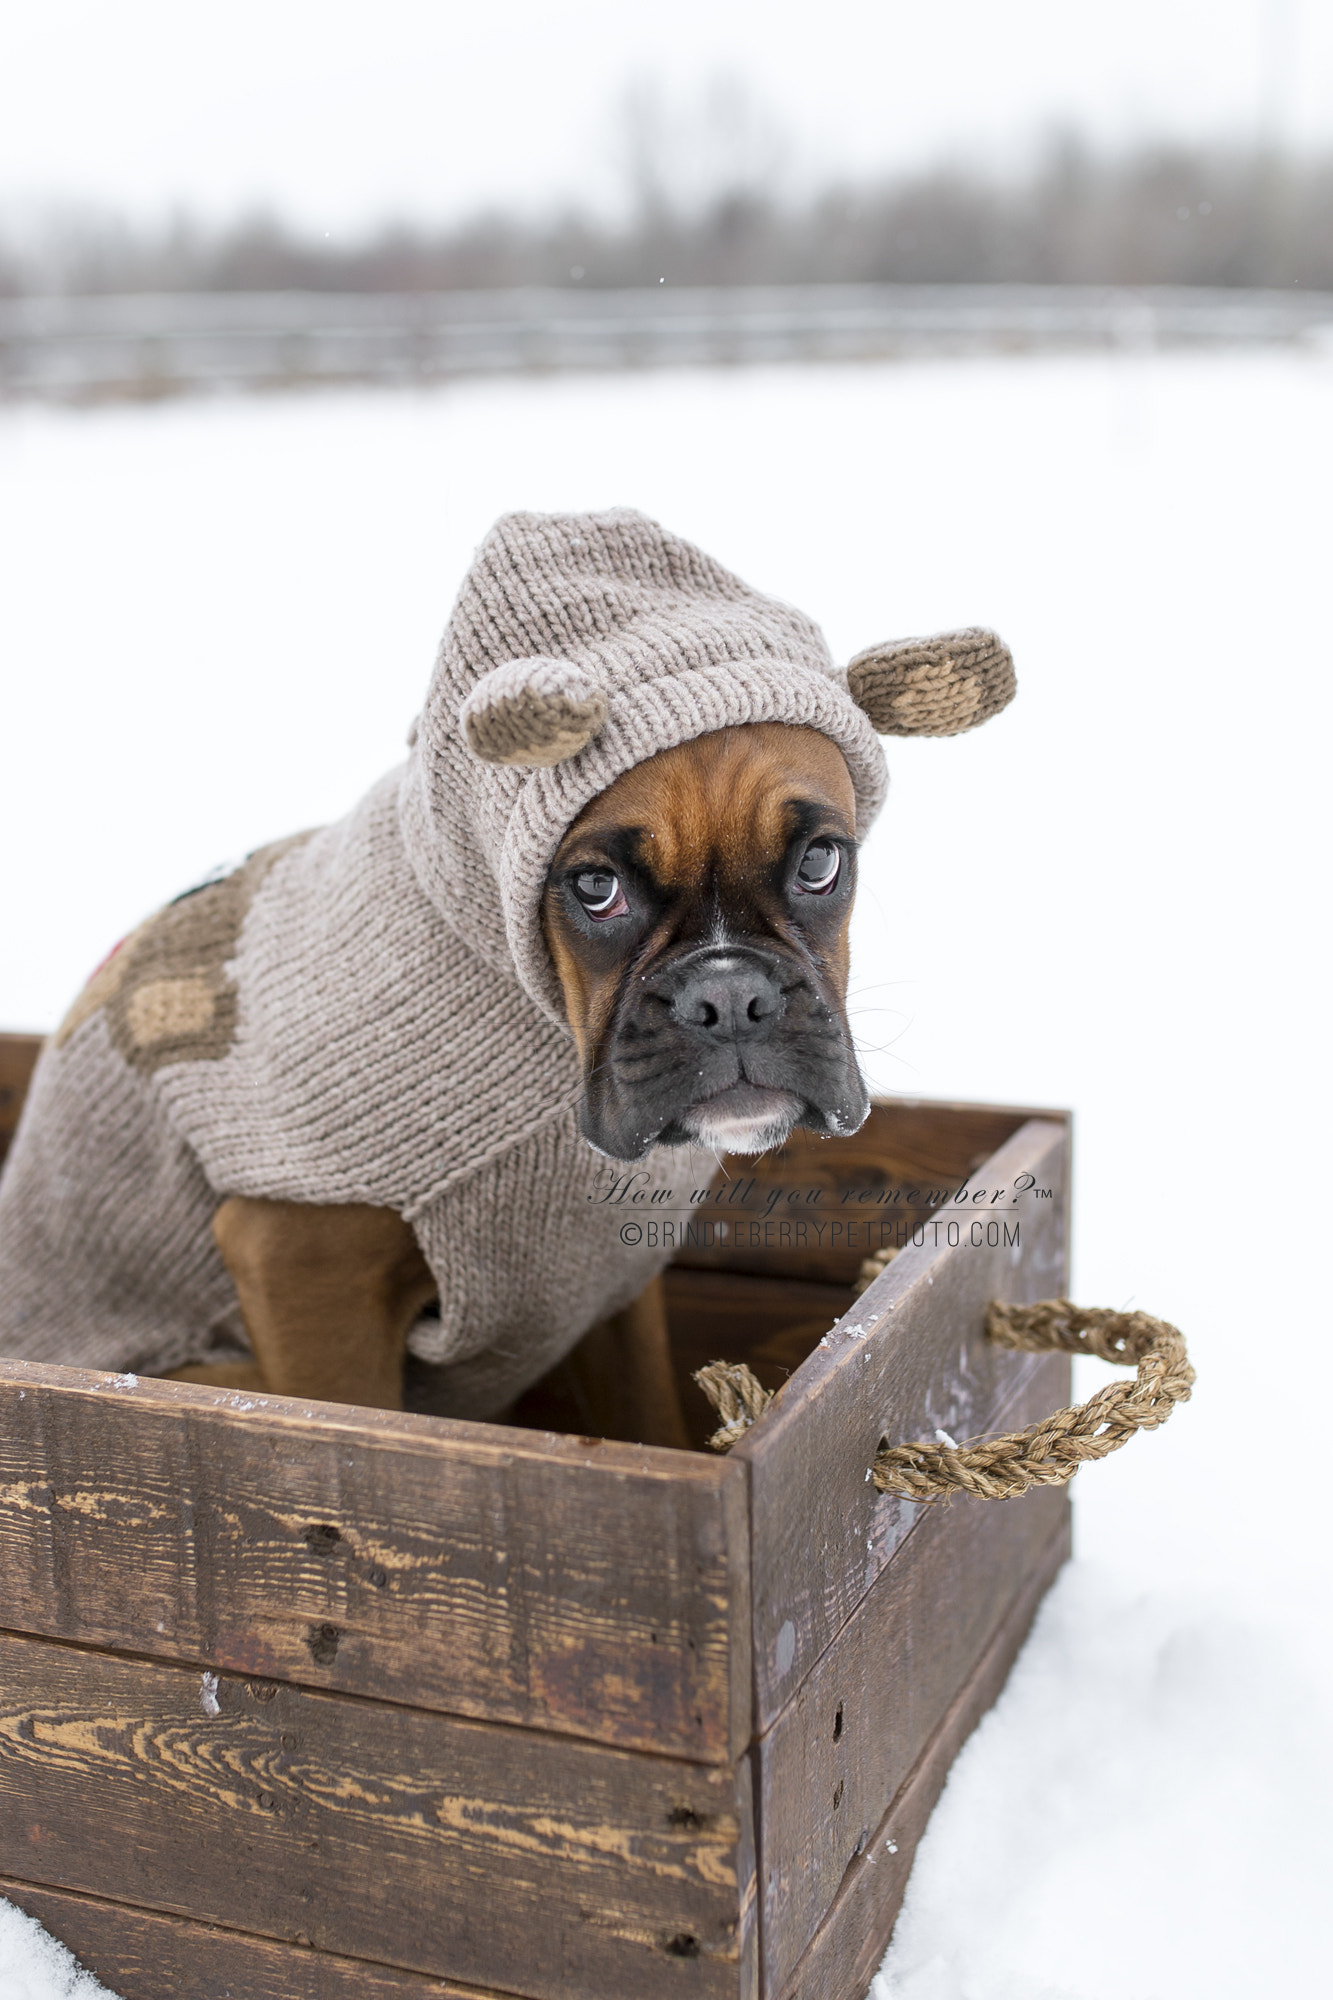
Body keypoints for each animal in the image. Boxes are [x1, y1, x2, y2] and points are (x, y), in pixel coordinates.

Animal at [0, 508, 1008, 1440]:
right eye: (593, 887)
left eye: (819, 863)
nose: (728, 993)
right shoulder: (301, 1267)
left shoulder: (608, 1286)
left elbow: (646, 1415)